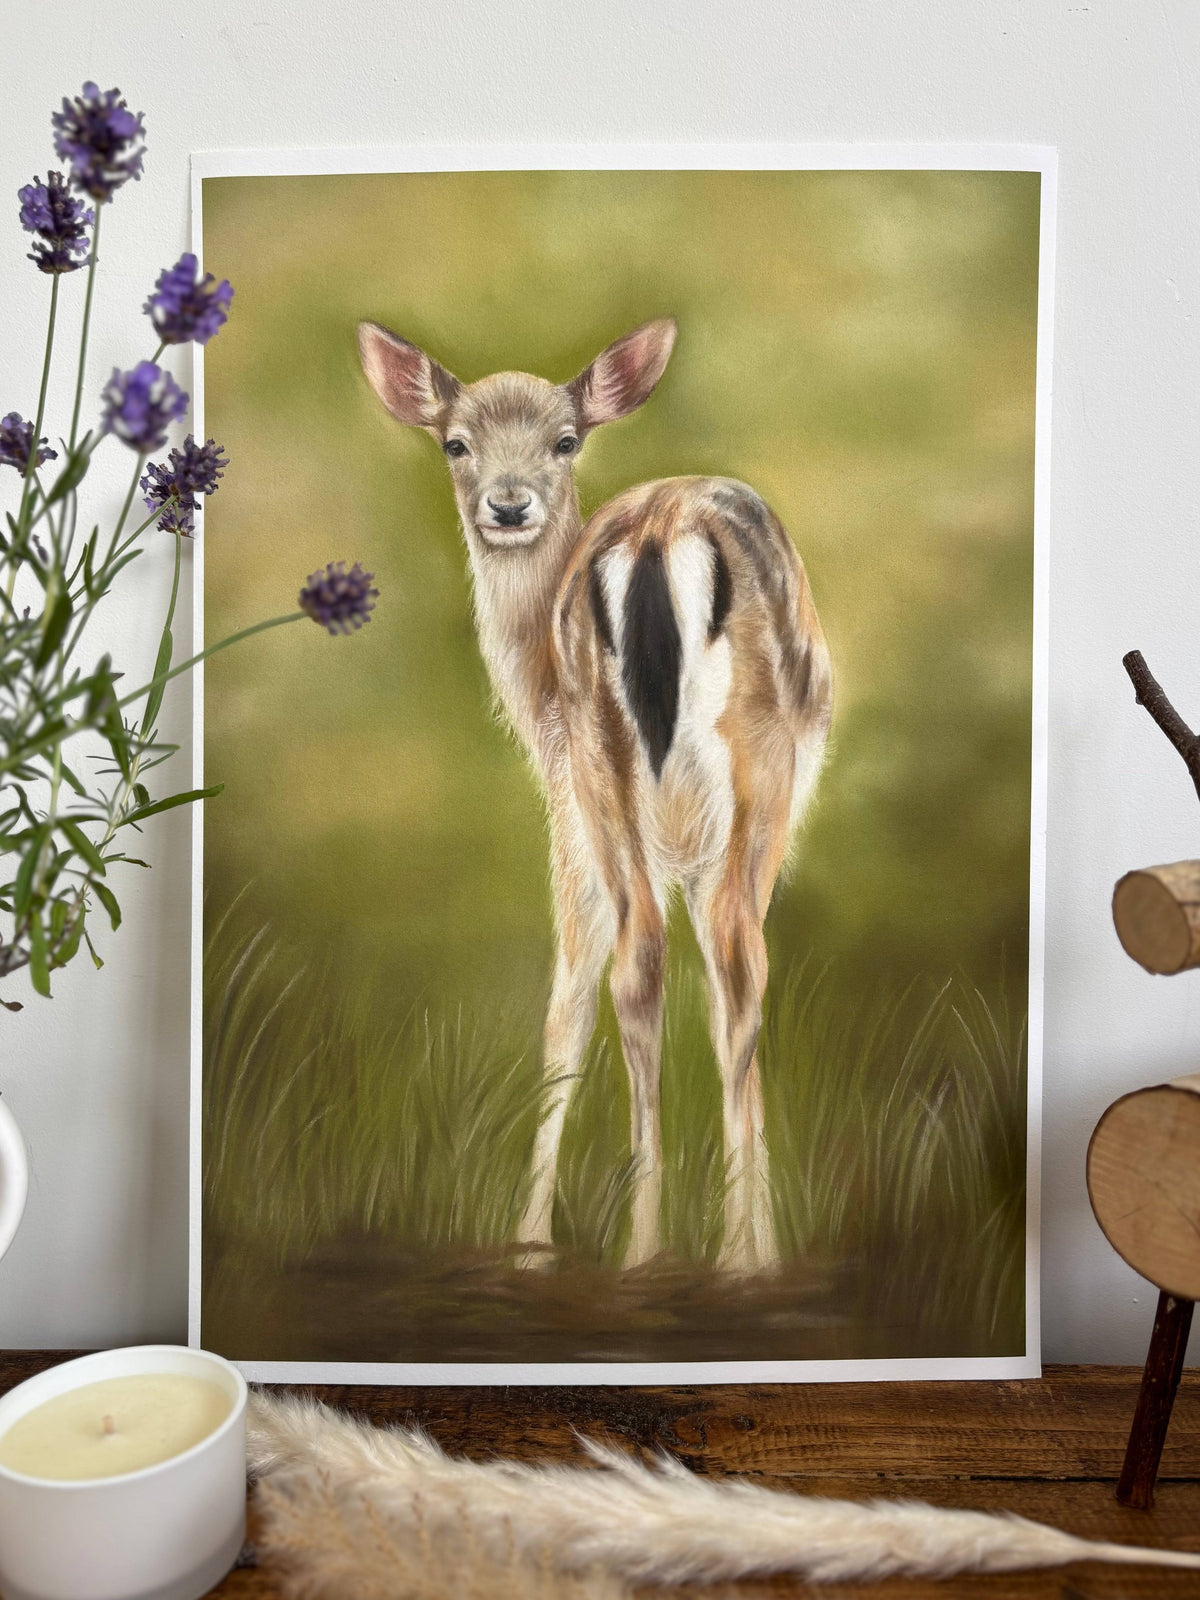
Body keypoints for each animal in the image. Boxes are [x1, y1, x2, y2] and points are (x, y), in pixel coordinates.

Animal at [357, 317, 832, 1273]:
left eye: (565, 440)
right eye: (455, 442)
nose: (507, 505)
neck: (531, 697)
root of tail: (656, 536)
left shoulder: (582, 813)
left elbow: (578, 996)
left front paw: (531, 1243)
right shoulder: (584, 824)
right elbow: (586, 997)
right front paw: (535, 1240)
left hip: (613, 765)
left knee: (654, 960)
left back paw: (657, 1249)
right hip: (736, 773)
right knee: (724, 960)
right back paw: (714, 1258)